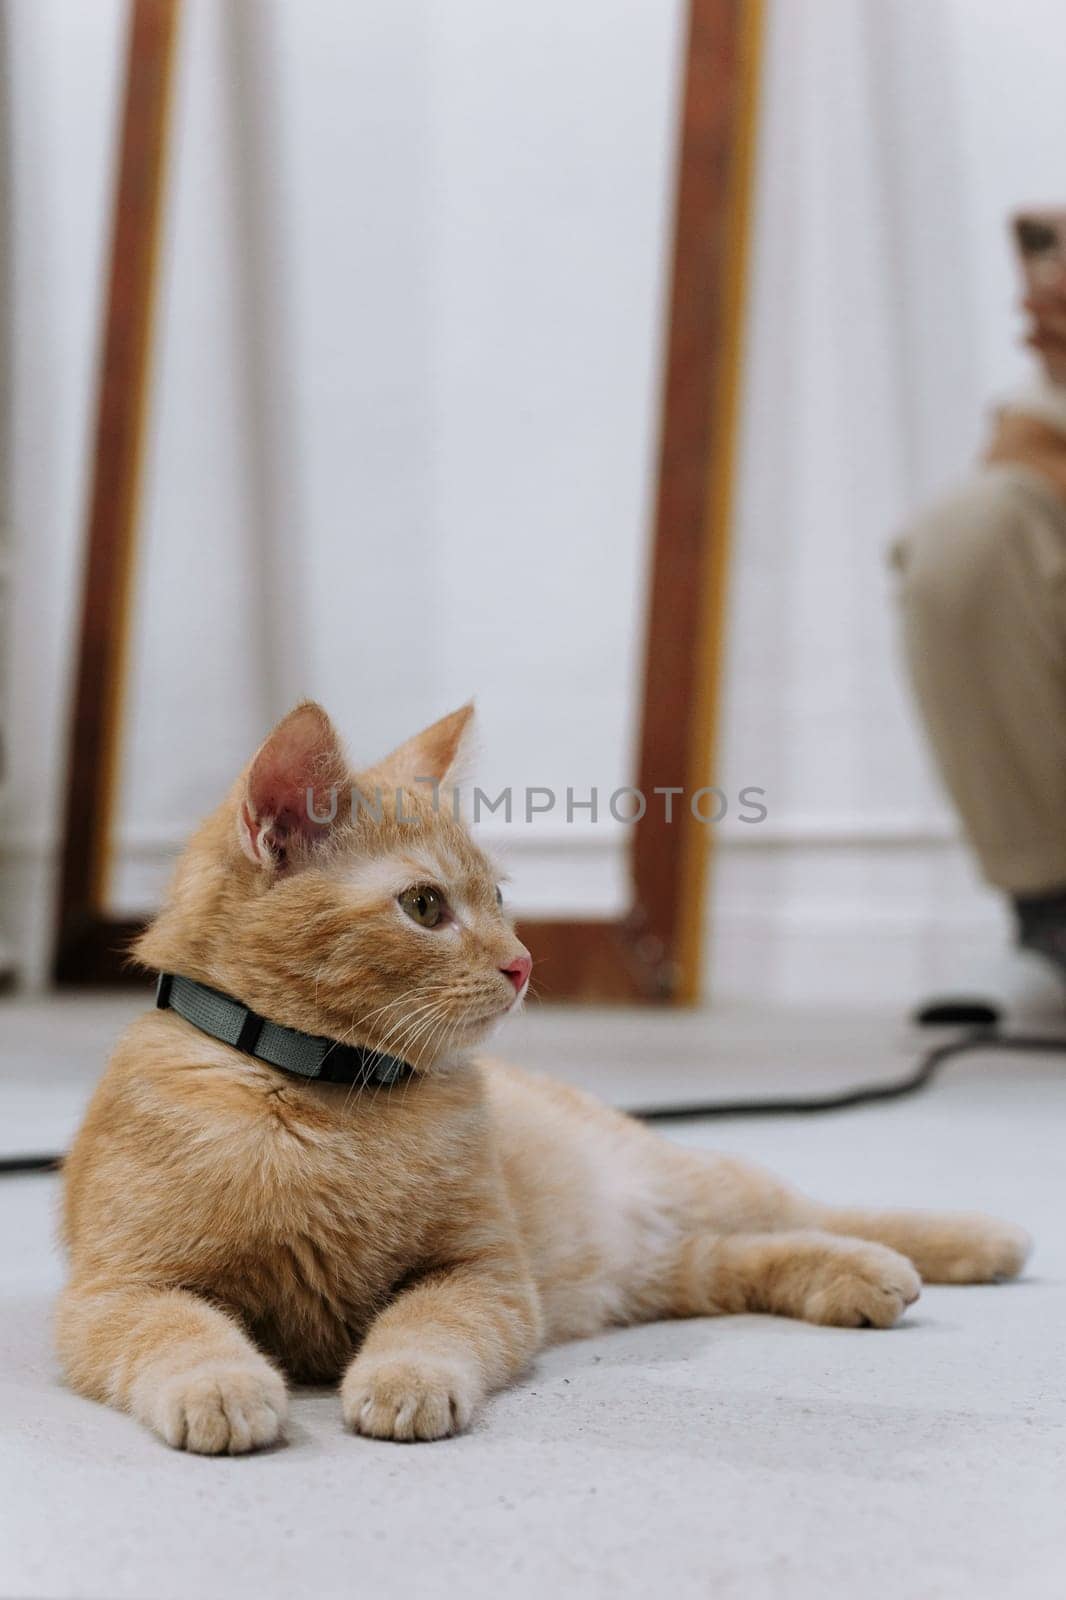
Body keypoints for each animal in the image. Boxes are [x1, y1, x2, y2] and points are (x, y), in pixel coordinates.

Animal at [58, 700, 1030, 1452]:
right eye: (425, 906)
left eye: (499, 898)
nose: (523, 962)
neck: (324, 1094)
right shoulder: (114, 1292)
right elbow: (179, 1330)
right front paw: (219, 1387)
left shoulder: (484, 1274)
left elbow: (426, 1323)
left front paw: (405, 1380)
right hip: (651, 1274)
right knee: (740, 1255)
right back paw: (861, 1278)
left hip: (696, 1182)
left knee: (818, 1207)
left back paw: (966, 1240)